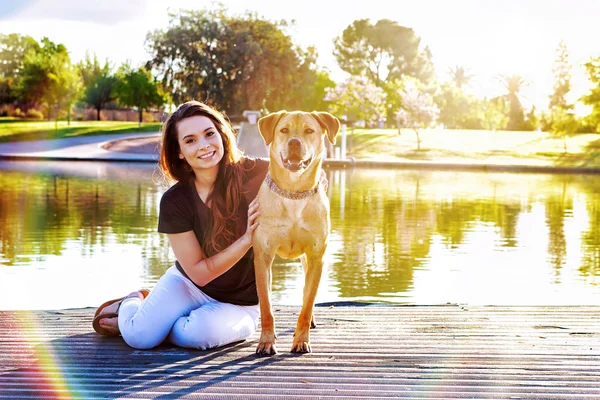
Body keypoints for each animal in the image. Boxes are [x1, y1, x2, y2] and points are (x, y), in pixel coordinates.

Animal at [252, 108, 340, 354]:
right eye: (284, 129)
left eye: (309, 130)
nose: (294, 142)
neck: (293, 193)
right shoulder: (263, 255)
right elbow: (266, 305)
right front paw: (266, 341)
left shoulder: (316, 256)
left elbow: (307, 304)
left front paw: (301, 340)